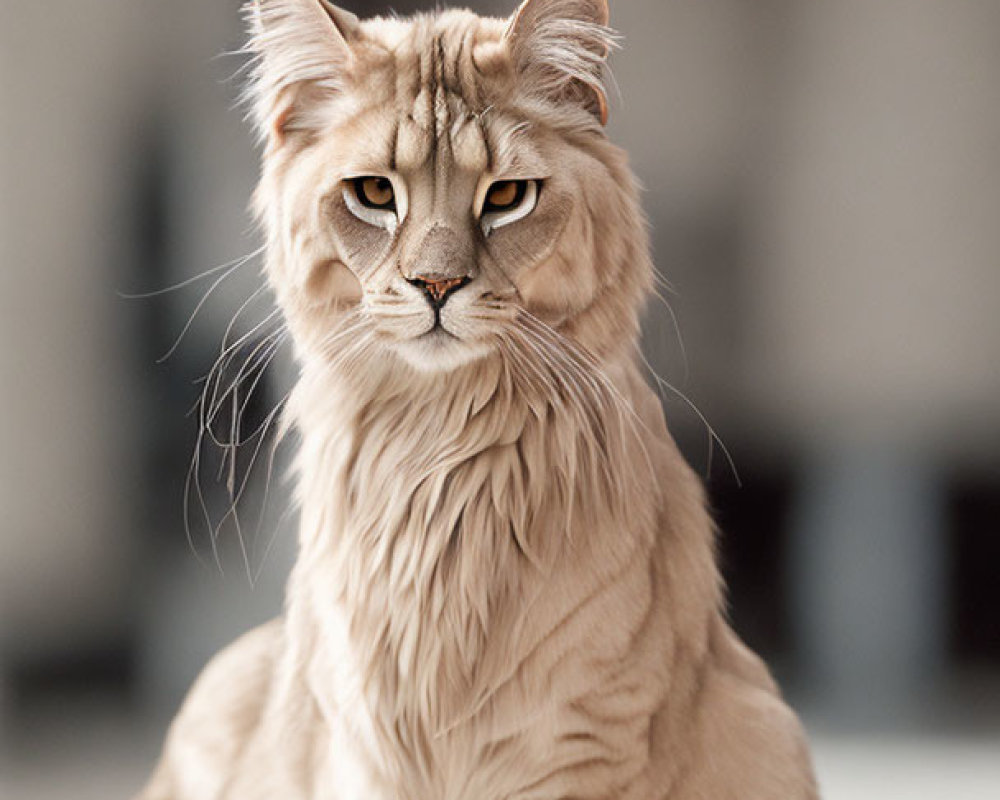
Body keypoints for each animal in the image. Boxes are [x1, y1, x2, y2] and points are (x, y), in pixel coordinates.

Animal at [135, 0, 820, 796]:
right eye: (374, 195)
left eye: (506, 197)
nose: (437, 284)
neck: (437, 456)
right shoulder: (362, 749)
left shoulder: (587, 745)